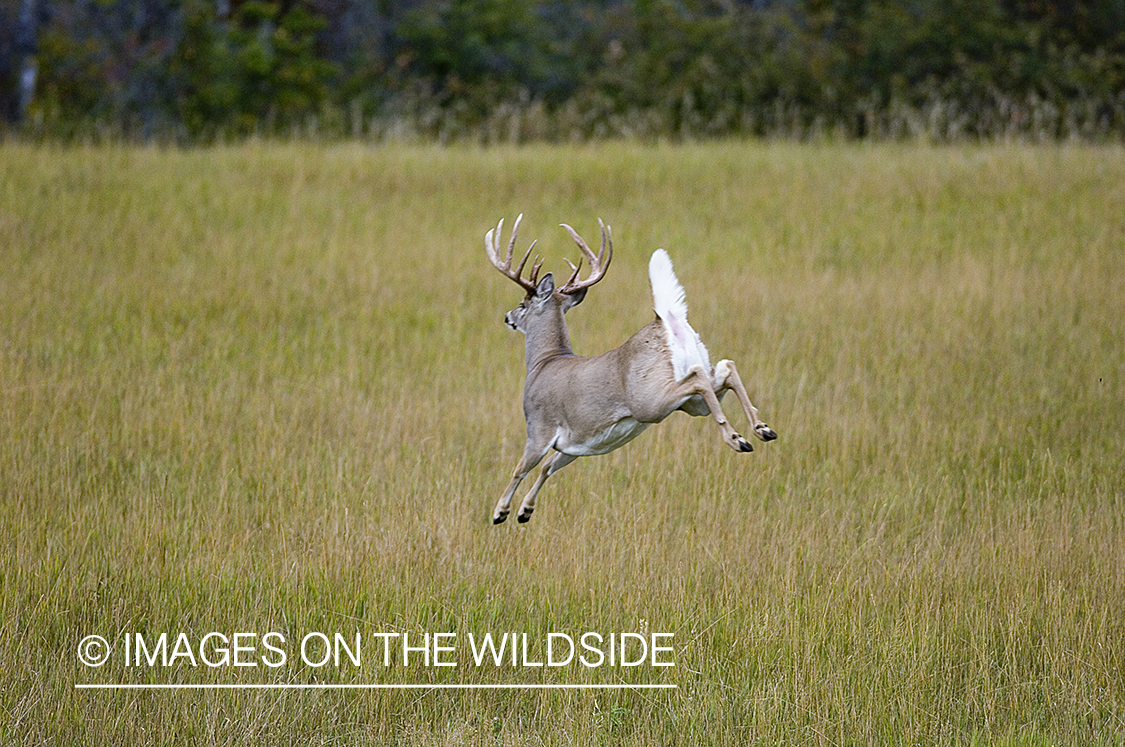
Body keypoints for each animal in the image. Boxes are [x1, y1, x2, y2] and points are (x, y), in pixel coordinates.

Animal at [488, 212, 778, 522]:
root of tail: (664, 318)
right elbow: (547, 468)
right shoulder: (575, 444)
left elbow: (520, 468)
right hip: (691, 401)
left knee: (699, 377)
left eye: (523, 303)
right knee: (726, 367)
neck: (545, 361)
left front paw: (500, 511)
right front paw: (525, 511)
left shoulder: (539, 427)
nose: (507, 316)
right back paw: (762, 429)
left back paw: (737, 439)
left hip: (649, 401)